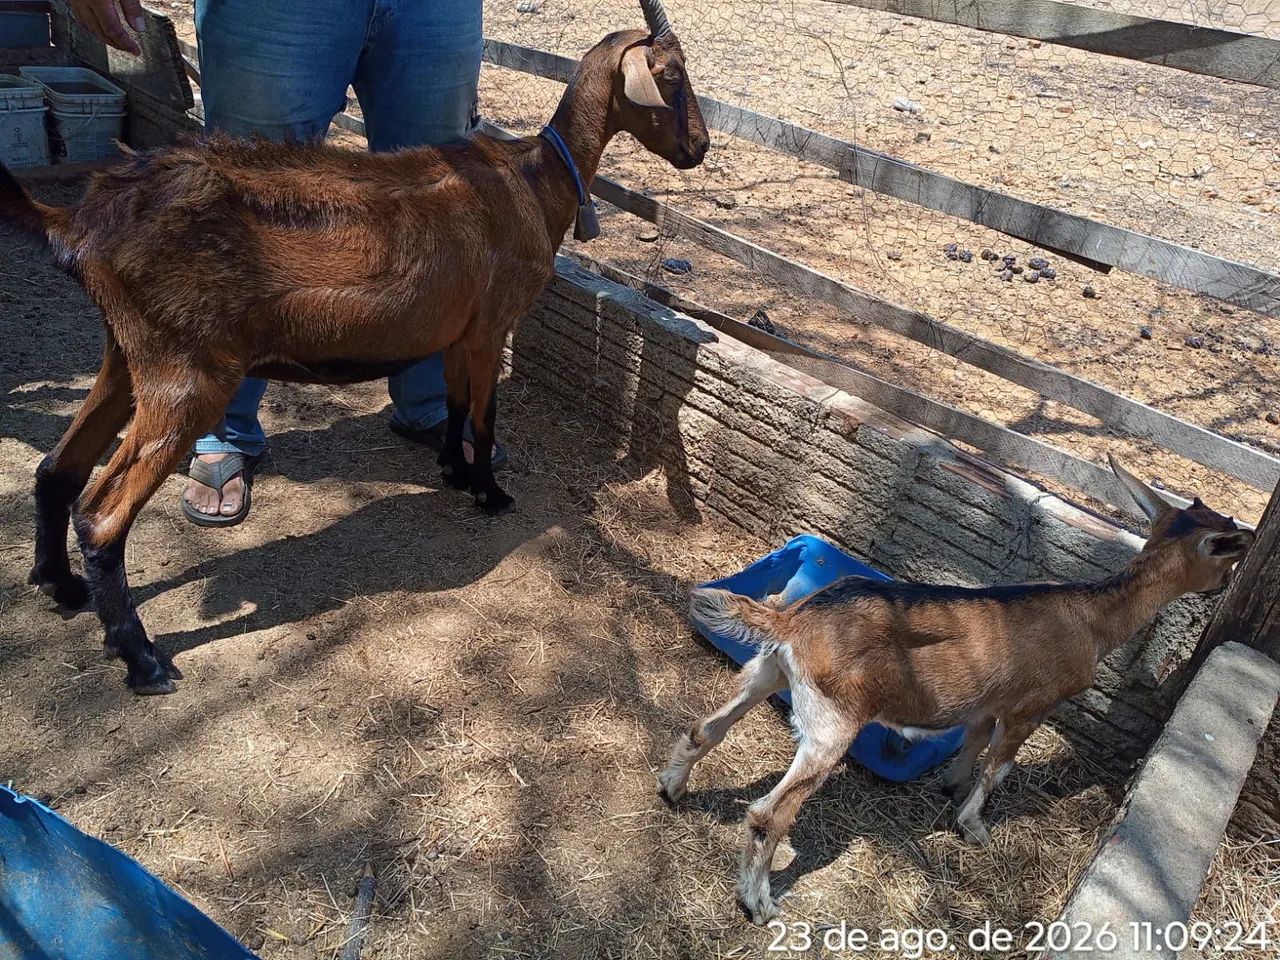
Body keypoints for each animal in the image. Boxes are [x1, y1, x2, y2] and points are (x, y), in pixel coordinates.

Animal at [0, 0, 708, 696]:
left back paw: (62, 587)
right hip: (187, 372)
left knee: (56, 469)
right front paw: (489, 491)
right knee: (101, 515)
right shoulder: (491, 326)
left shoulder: (457, 330)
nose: (698, 147)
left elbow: (455, 405)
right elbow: (484, 415)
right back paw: (142, 659)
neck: (534, 181)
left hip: (128, 354)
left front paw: (452, 469)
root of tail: (83, 224)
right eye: (671, 75)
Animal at [657, 456, 1254, 925]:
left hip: (768, 671)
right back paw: (758, 903)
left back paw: (671, 787)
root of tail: (795, 621)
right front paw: (974, 827)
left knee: (705, 727)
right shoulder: (1031, 704)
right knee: (769, 813)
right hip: (832, 719)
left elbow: (972, 744)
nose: (1223, 587)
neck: (1090, 617)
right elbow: (1000, 766)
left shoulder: (988, 703)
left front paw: (951, 786)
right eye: (1226, 553)